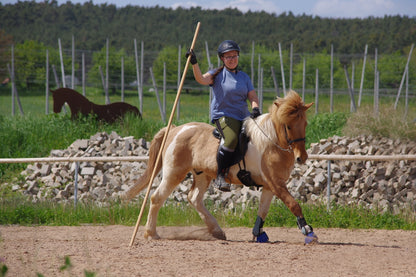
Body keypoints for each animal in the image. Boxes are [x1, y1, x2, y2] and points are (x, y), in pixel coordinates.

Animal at [123, 89, 316, 243]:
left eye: (305, 124)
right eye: (288, 126)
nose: (301, 158)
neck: (270, 142)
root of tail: (175, 129)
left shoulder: (270, 185)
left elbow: (263, 211)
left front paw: (258, 234)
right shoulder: (276, 183)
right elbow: (293, 204)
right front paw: (308, 232)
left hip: (203, 175)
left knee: (194, 198)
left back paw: (217, 231)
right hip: (174, 173)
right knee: (157, 197)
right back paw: (151, 233)